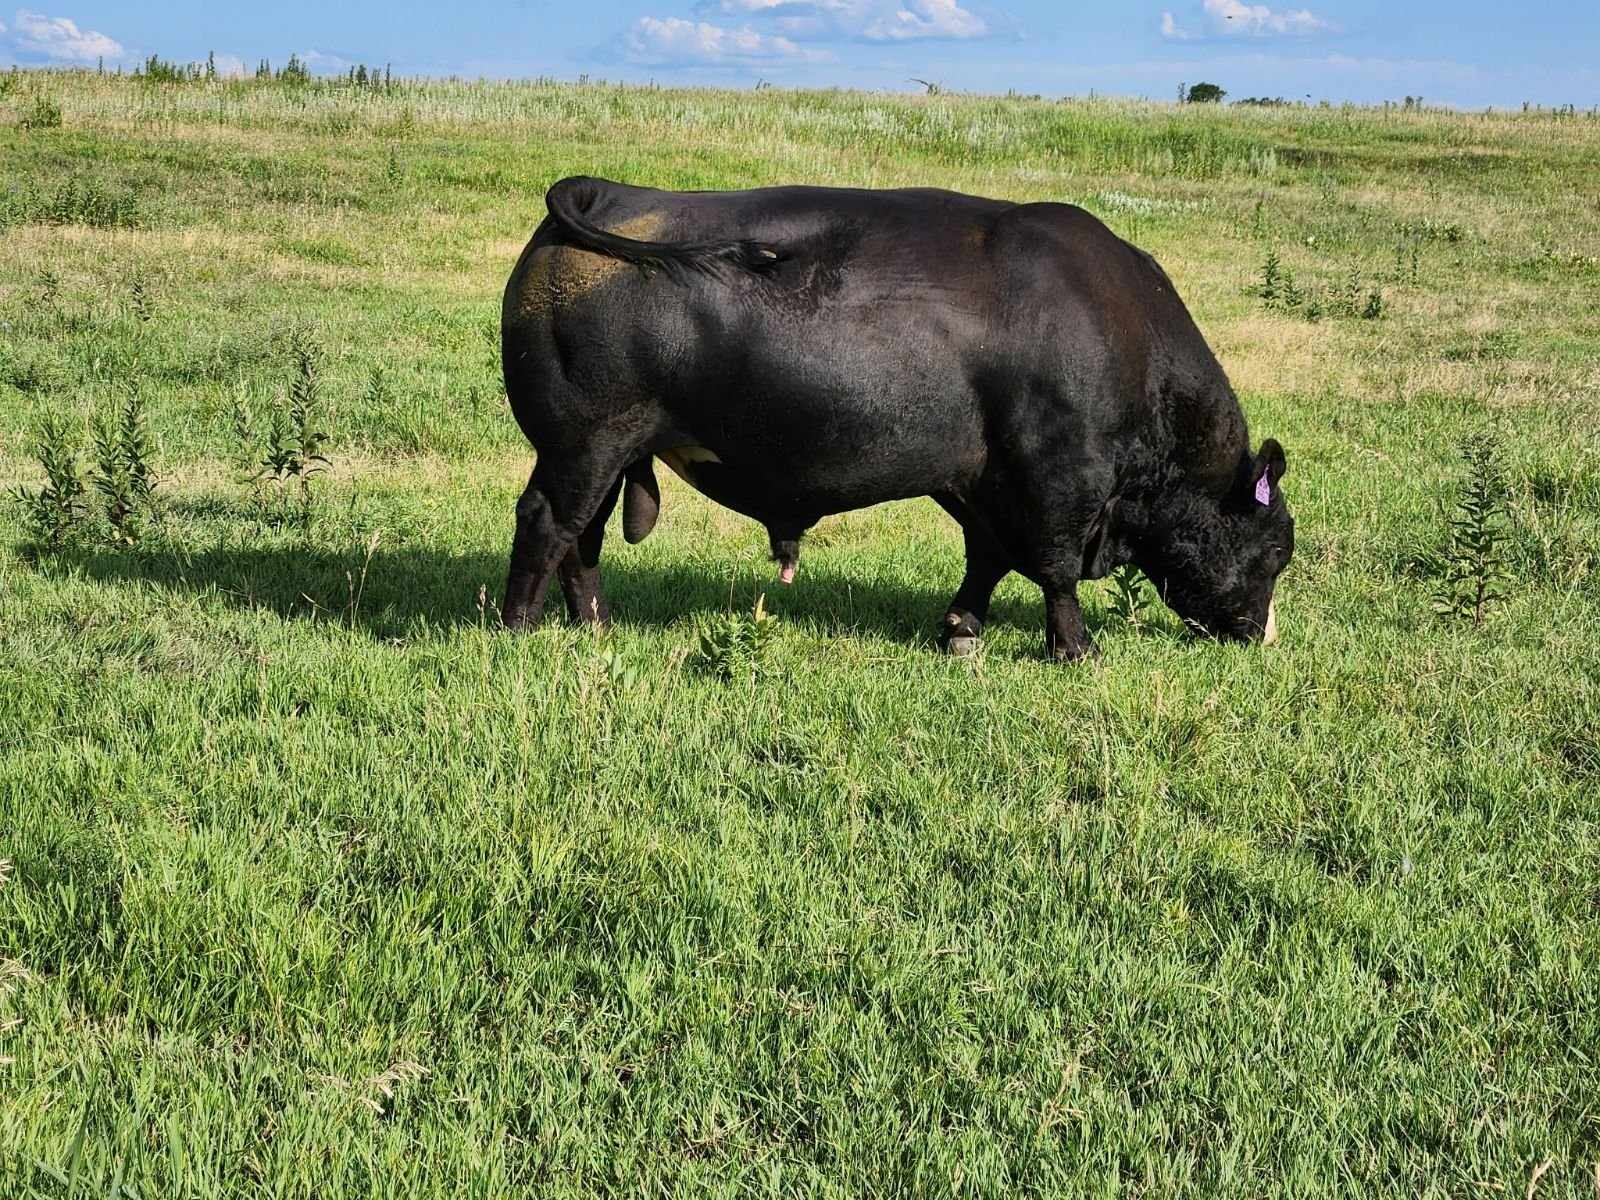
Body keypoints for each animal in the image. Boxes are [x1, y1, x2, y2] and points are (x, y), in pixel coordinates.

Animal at [500, 176, 1293, 661]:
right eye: (1279, 549)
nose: (1257, 633)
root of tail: (607, 192)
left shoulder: (977, 481)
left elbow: (989, 557)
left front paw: (962, 630)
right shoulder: (1060, 477)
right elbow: (1056, 569)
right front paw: (1075, 649)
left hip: (604, 454)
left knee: (582, 537)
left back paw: (594, 626)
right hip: (582, 445)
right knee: (546, 522)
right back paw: (517, 629)